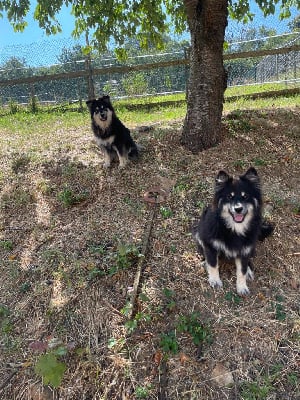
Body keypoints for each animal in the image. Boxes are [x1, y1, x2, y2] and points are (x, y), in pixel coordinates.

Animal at [192, 167, 274, 296]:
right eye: (229, 197)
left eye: (245, 196)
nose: (238, 209)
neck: (234, 229)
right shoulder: (210, 245)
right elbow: (213, 264)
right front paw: (215, 280)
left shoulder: (245, 250)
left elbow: (242, 270)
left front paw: (242, 287)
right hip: (199, 236)